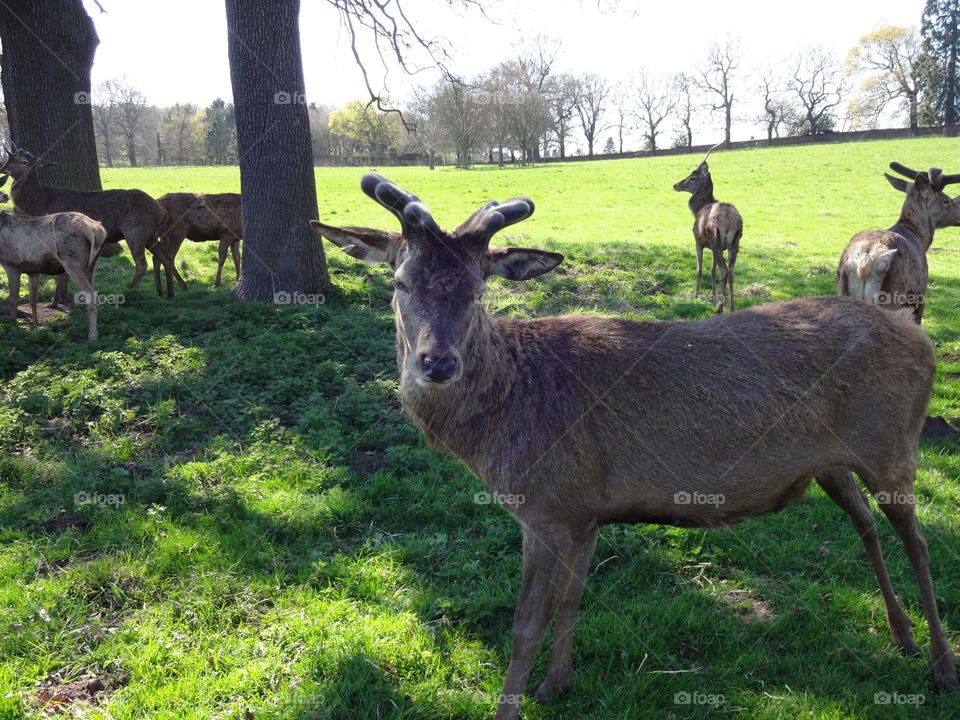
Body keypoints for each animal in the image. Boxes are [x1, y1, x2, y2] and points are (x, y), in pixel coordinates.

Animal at [0, 145, 175, 298]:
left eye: (24, 161)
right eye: (9, 159)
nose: (3, 169)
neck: (40, 204)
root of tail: (162, 211)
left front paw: (57, 299)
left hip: (135, 232)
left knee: (142, 263)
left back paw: (130, 289)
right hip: (151, 235)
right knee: (165, 257)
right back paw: (168, 293)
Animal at [0, 210, 107, 340]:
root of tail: (99, 231)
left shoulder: (12, 264)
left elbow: (13, 299)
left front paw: (14, 325)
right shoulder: (33, 271)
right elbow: (32, 299)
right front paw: (37, 325)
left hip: (72, 262)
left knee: (91, 296)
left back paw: (92, 336)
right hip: (92, 265)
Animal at [673, 142, 743, 312]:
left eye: (692, 177)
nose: (675, 185)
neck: (699, 208)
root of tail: (731, 220)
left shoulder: (698, 241)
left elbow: (699, 270)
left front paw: (696, 295)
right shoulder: (713, 247)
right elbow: (712, 271)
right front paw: (712, 297)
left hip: (716, 241)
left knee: (724, 271)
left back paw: (720, 307)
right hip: (734, 244)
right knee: (731, 271)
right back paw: (731, 307)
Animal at [837, 163, 960, 323]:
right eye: (946, 200)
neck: (919, 238)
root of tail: (863, 265)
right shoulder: (920, 292)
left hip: (842, 289)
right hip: (892, 296)